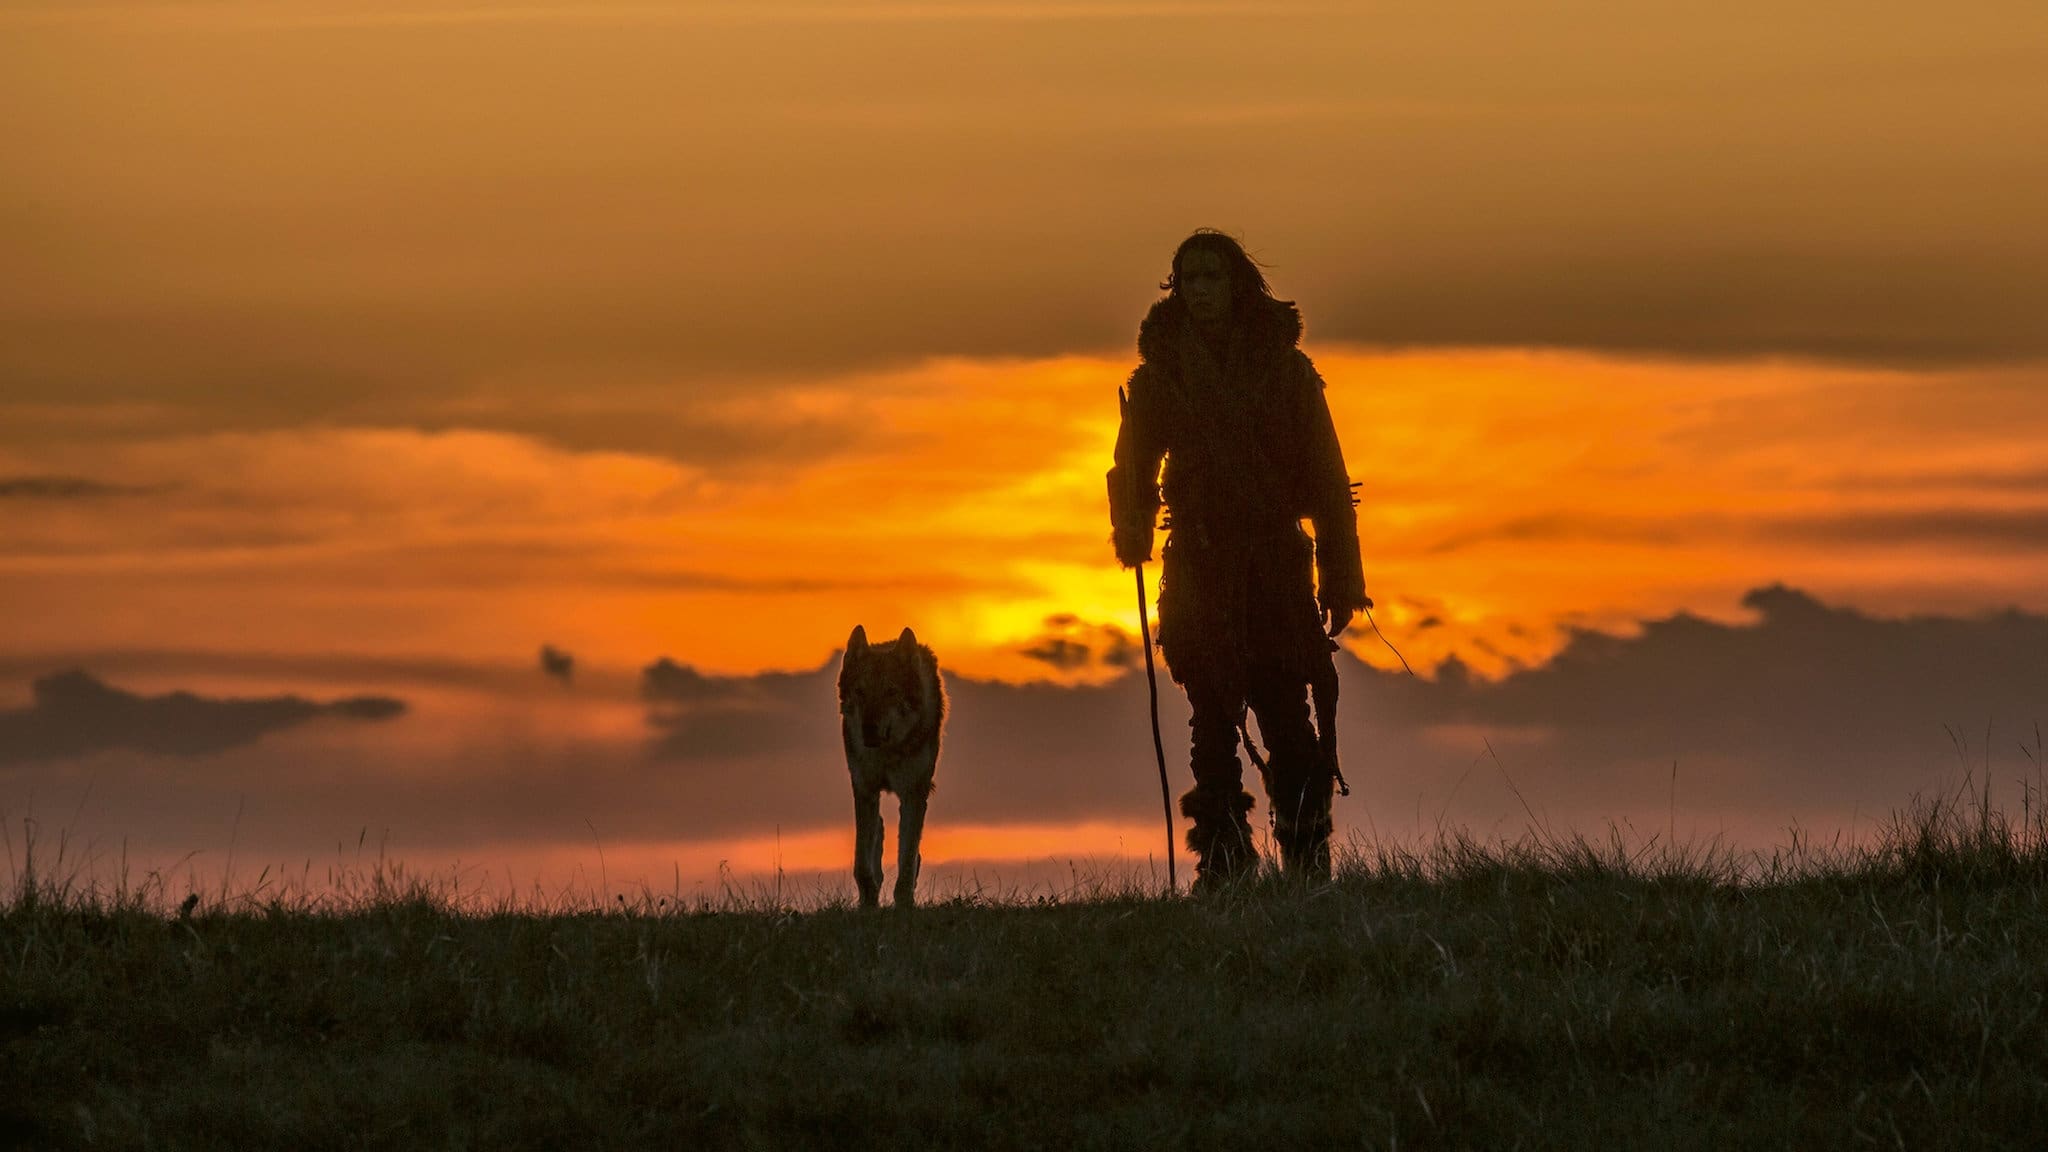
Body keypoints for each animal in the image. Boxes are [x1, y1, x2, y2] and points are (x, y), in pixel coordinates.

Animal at [835, 623, 946, 901]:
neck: (887, 752)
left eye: (891, 691)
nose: (869, 730)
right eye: (860, 691)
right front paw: (868, 901)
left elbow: (906, 858)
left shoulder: (913, 793)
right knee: (879, 829)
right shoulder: (865, 788)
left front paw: (904, 902)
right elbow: (862, 861)